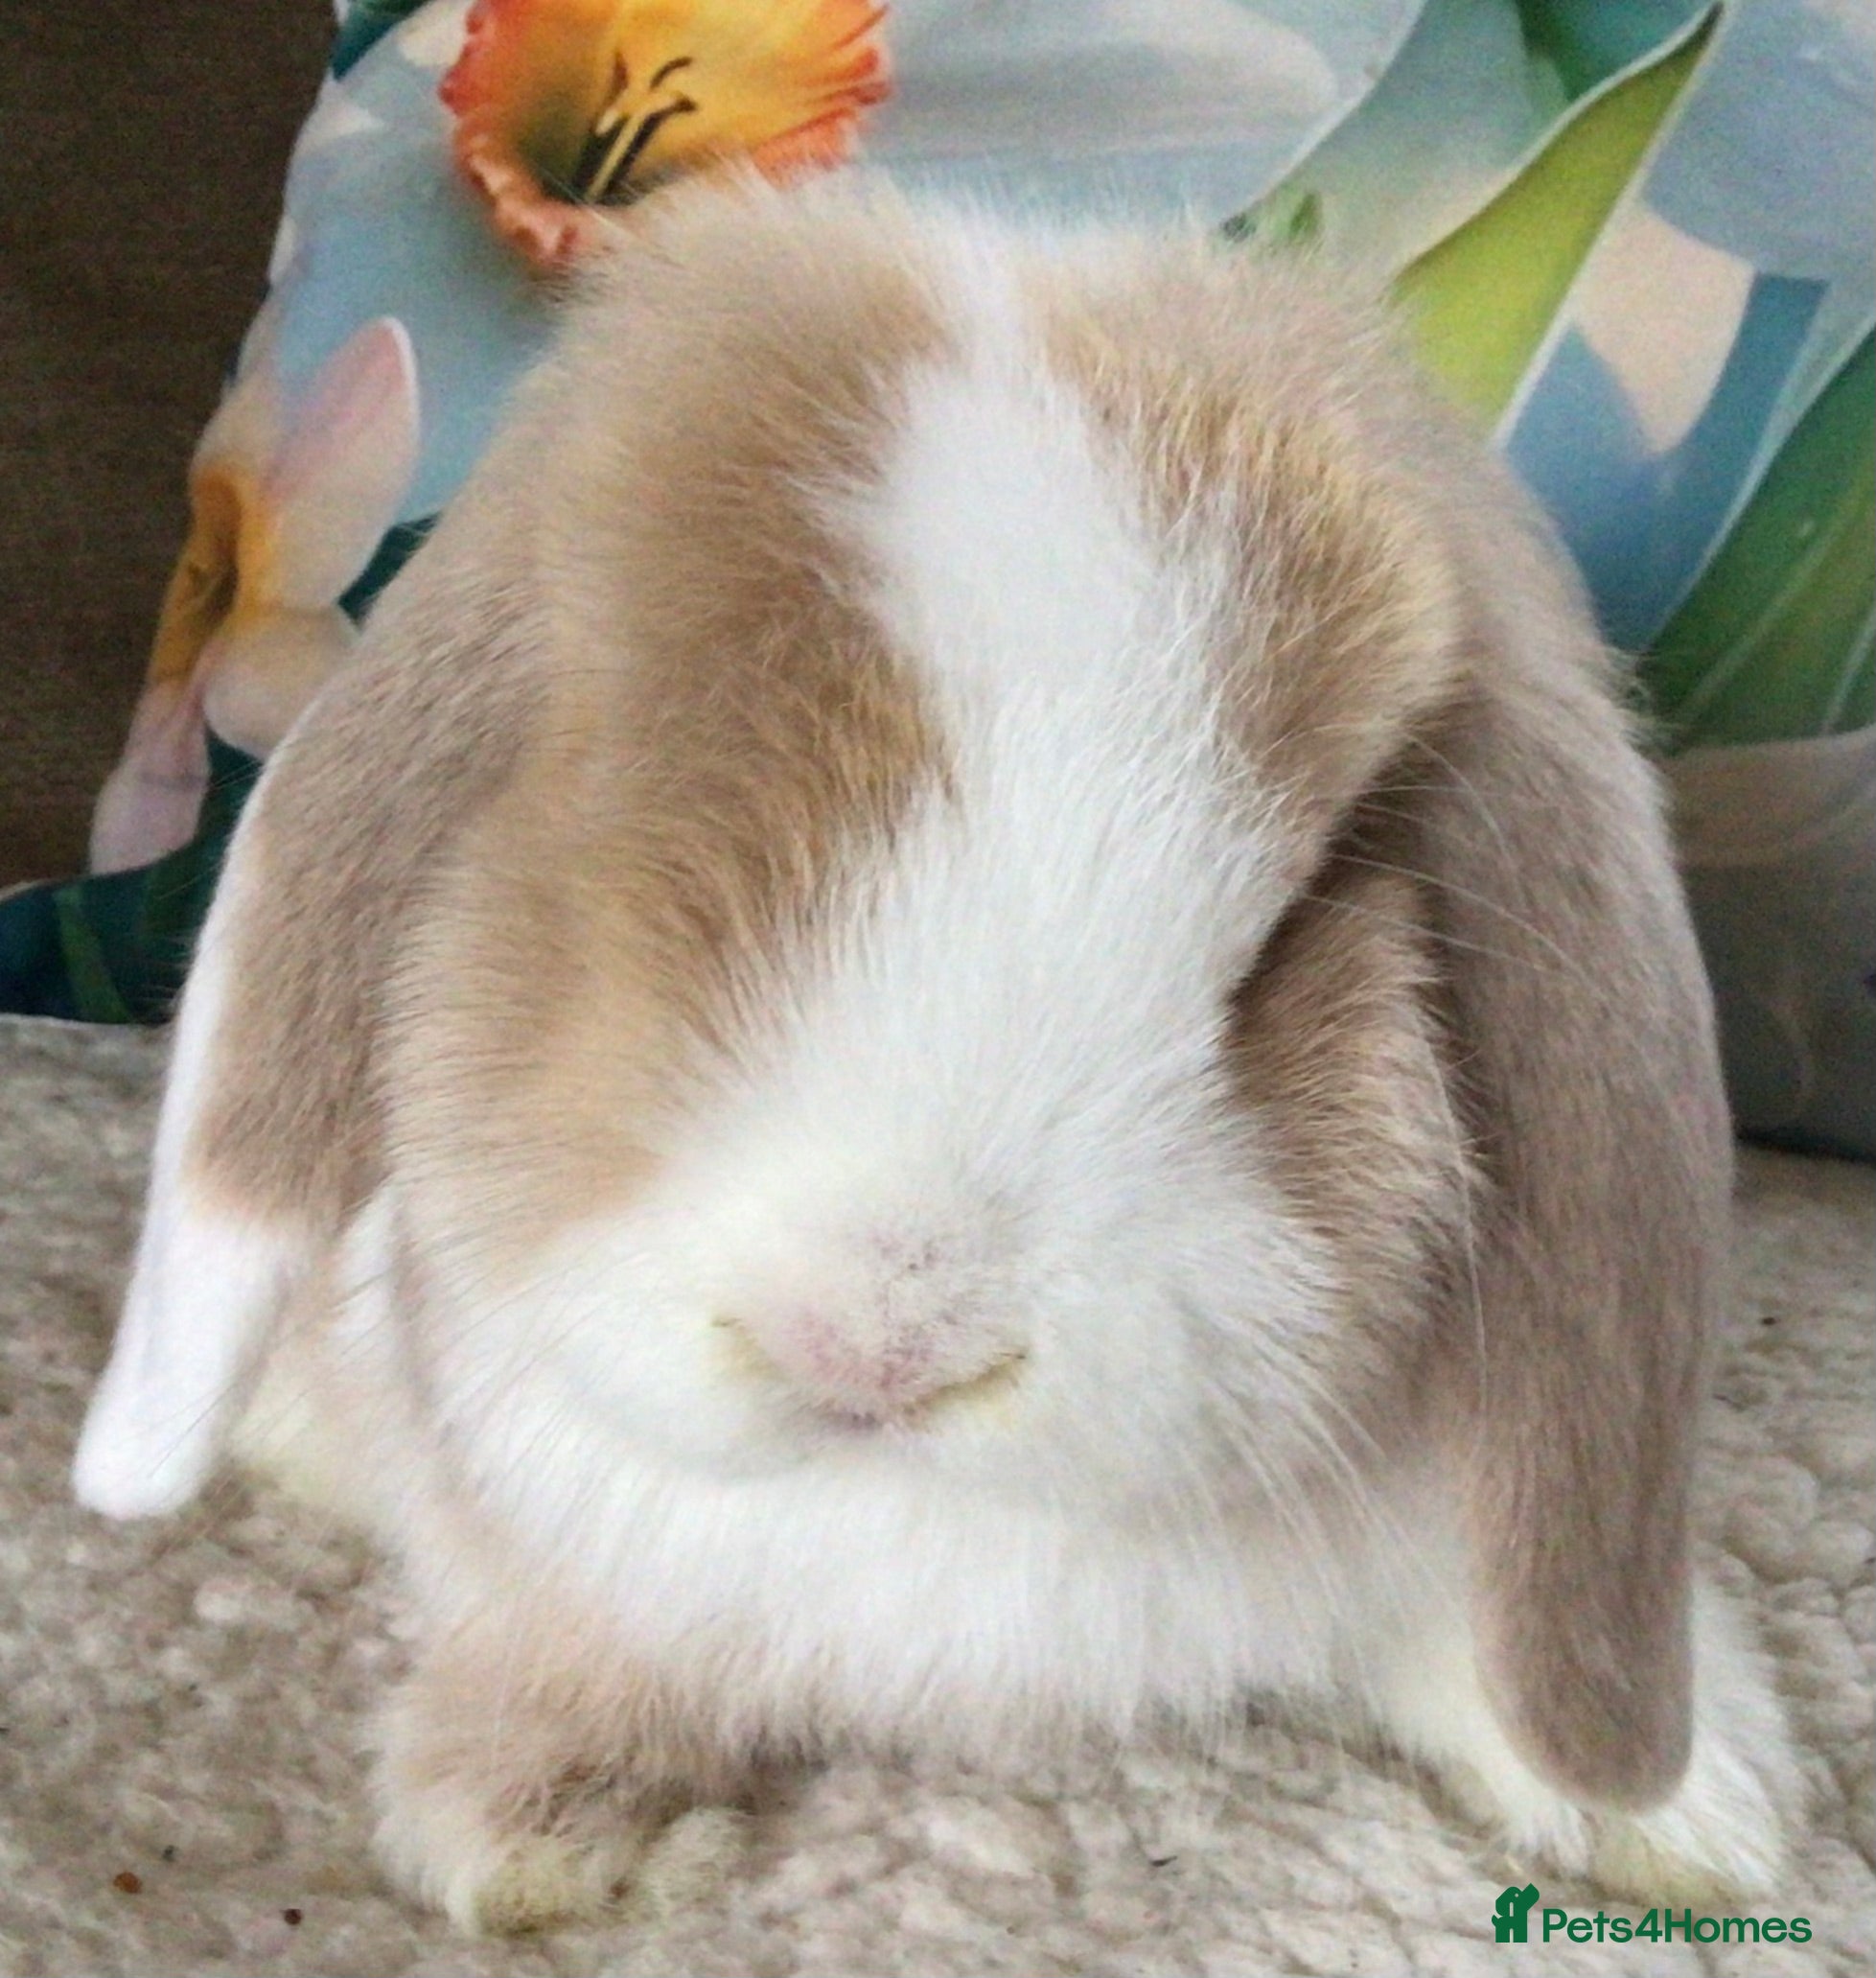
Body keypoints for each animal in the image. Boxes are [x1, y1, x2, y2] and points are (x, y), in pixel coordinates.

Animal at [72, 171, 1798, 1935]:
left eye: (1300, 914)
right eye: (603, 816)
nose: (874, 1340)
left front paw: (1701, 1809)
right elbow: (573, 1633)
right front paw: (552, 1823)